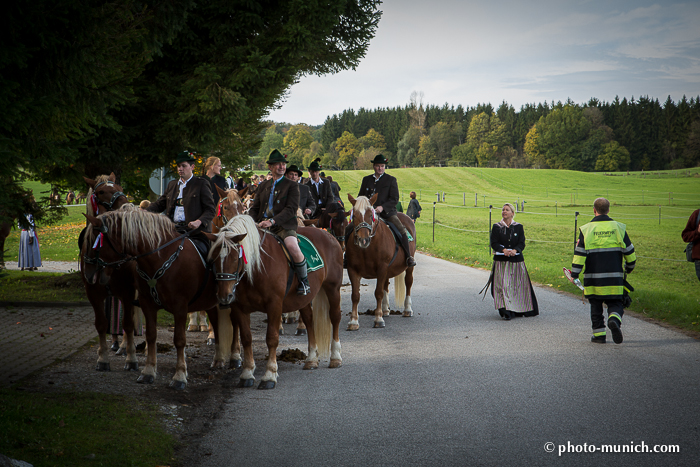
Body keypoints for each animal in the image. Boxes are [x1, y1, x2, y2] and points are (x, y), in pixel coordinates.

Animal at [82, 209, 224, 392]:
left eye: (95, 244)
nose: (88, 274)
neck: (161, 257)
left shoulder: (180, 307)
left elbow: (179, 340)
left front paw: (179, 376)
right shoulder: (147, 304)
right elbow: (151, 336)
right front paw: (148, 371)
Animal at [204, 216, 344, 392]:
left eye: (235, 258)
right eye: (213, 260)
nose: (224, 296)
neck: (257, 267)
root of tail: (328, 235)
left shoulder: (274, 305)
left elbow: (271, 338)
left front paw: (269, 375)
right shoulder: (240, 308)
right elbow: (246, 338)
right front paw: (247, 374)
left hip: (333, 288)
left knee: (335, 317)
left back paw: (335, 357)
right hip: (303, 299)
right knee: (309, 320)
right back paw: (311, 359)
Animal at [344, 194, 416, 330]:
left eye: (369, 215)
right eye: (354, 215)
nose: (363, 240)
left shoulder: (382, 268)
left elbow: (378, 292)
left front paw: (378, 319)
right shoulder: (352, 269)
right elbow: (355, 295)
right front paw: (353, 321)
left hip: (408, 266)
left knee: (408, 282)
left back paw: (407, 309)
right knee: (386, 285)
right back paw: (385, 310)